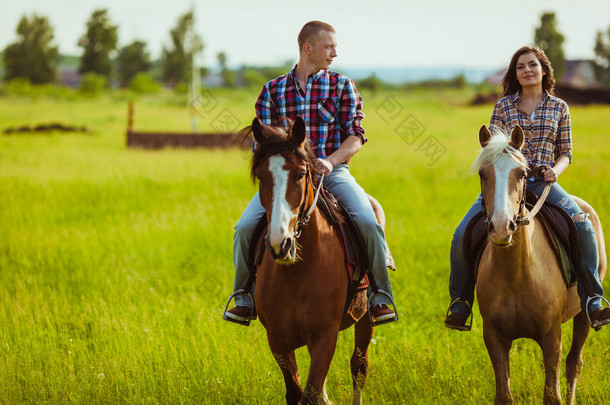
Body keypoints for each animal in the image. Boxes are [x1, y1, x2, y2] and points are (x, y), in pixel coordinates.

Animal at [243, 115, 380, 402]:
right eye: (260, 175)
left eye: (301, 174)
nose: (280, 244)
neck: (297, 275)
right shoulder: (277, 340)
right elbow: (296, 393)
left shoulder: (325, 337)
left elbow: (312, 394)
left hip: (366, 318)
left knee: (359, 367)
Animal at [470, 124, 604, 402]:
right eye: (482, 173)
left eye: (522, 173)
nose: (502, 227)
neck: (516, 271)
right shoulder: (494, 337)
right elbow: (504, 395)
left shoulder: (551, 335)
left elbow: (552, 395)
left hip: (584, 314)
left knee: (574, 363)